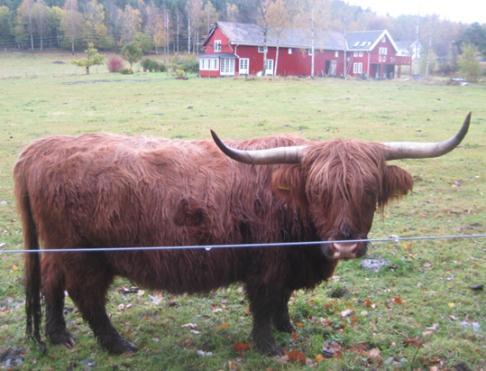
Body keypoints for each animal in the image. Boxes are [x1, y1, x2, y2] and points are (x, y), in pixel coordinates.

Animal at [15, 112, 470, 354]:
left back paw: (59, 336)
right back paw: (117, 344)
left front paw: (288, 328)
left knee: (52, 284)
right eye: (318, 191)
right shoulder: (266, 265)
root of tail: (41, 148)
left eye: (370, 191)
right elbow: (265, 303)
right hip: (84, 255)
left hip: (55, 248)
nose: (344, 244)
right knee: (86, 296)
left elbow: (282, 300)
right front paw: (269, 345)